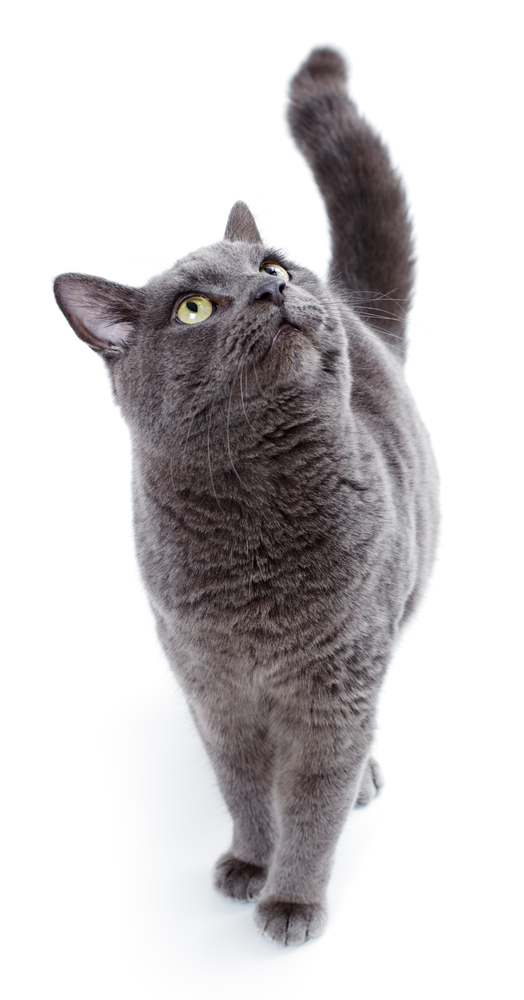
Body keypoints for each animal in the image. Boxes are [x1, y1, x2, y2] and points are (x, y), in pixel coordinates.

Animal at [53, 48, 438, 944]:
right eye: (194, 308)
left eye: (269, 265)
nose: (273, 290)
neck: (257, 507)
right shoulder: (213, 688)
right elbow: (244, 788)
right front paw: (248, 864)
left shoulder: (335, 691)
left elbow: (314, 807)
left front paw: (292, 901)